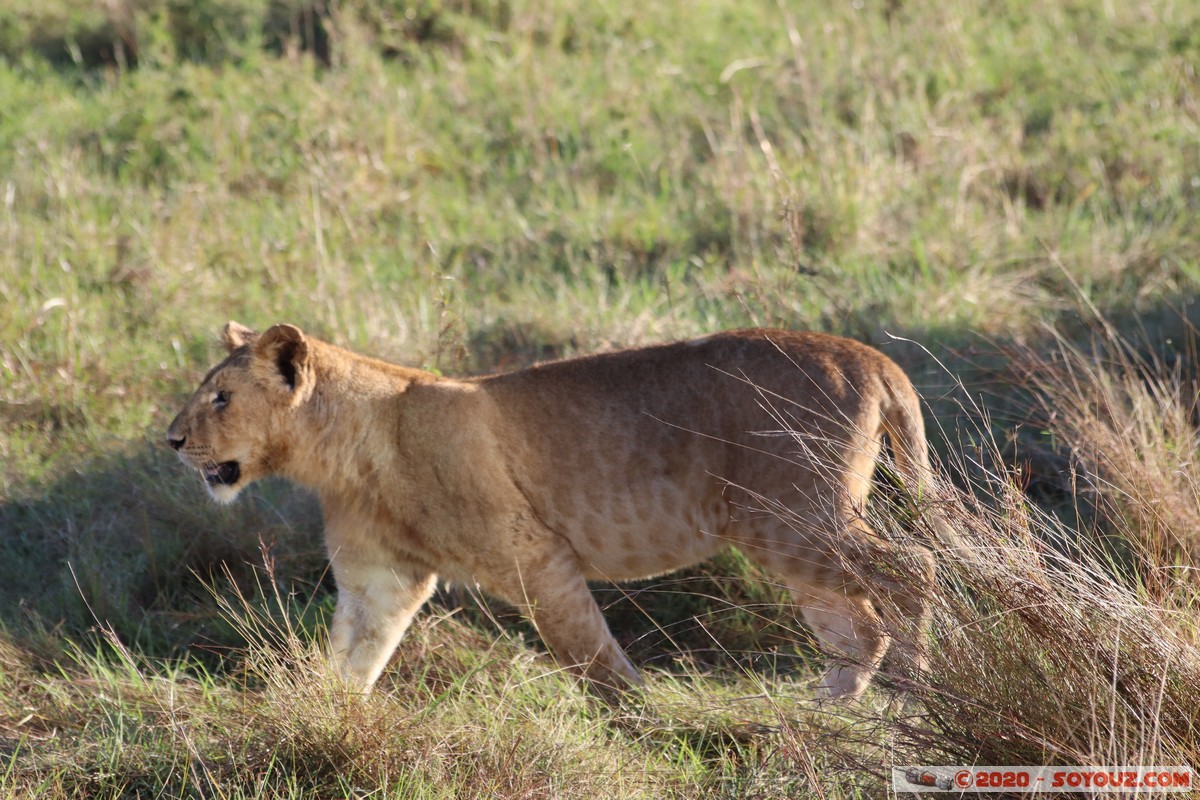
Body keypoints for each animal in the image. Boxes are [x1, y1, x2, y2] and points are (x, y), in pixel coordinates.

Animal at [169, 321, 936, 695]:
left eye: (221, 398)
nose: (171, 440)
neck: (346, 453)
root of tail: (871, 357)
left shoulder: (537, 557)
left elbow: (594, 661)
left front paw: (649, 725)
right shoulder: (379, 579)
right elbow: (354, 657)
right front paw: (324, 716)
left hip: (792, 518)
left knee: (915, 567)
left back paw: (915, 687)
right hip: (792, 533)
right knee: (857, 629)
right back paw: (829, 710)